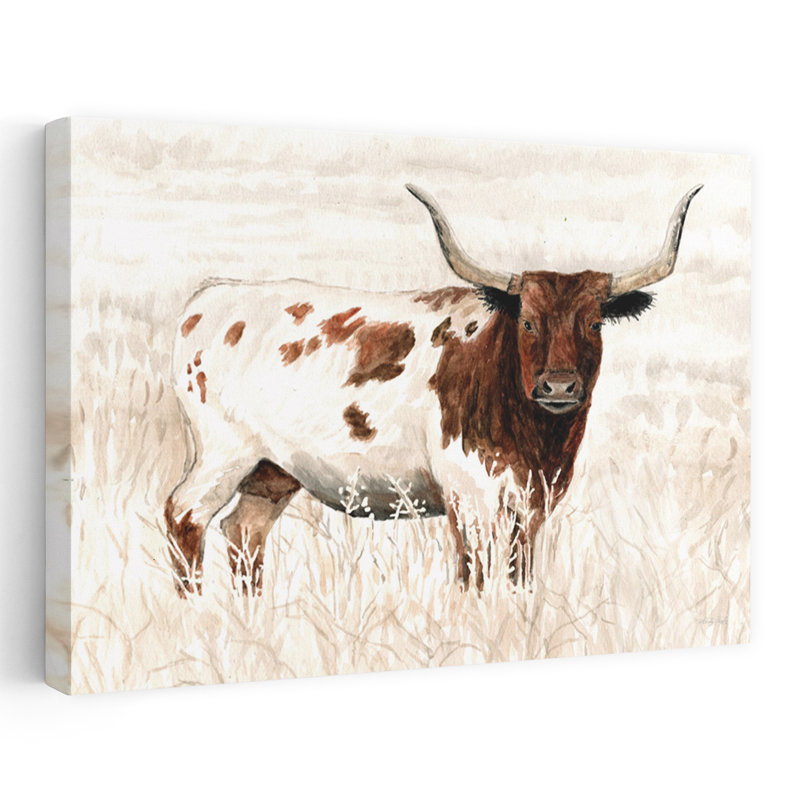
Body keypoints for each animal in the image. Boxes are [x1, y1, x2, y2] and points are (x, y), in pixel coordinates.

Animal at [165, 183, 702, 594]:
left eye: (593, 323)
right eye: (528, 322)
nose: (559, 385)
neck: (537, 443)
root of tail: (212, 295)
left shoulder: (532, 505)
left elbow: (519, 576)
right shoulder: (468, 495)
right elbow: (474, 576)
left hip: (272, 469)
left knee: (244, 530)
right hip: (223, 451)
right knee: (184, 515)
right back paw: (196, 609)